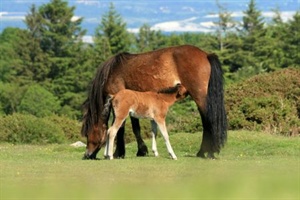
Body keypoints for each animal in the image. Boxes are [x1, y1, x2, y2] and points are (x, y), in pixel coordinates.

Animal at [81, 45, 226, 159]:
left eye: (87, 133)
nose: (87, 155)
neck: (113, 71)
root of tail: (206, 55)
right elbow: (135, 127)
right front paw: (140, 150)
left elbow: (122, 128)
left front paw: (120, 153)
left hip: (200, 97)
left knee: (208, 121)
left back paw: (207, 152)